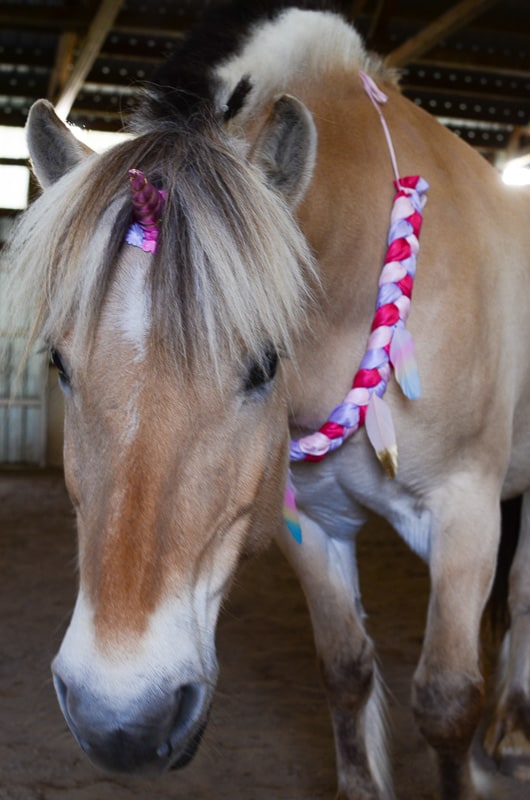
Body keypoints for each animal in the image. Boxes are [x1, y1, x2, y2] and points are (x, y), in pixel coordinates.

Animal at [3, 2, 530, 798]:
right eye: (60, 364)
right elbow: (345, 669)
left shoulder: (463, 511)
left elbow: (444, 700)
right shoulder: (309, 521)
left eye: (264, 364)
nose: (121, 720)